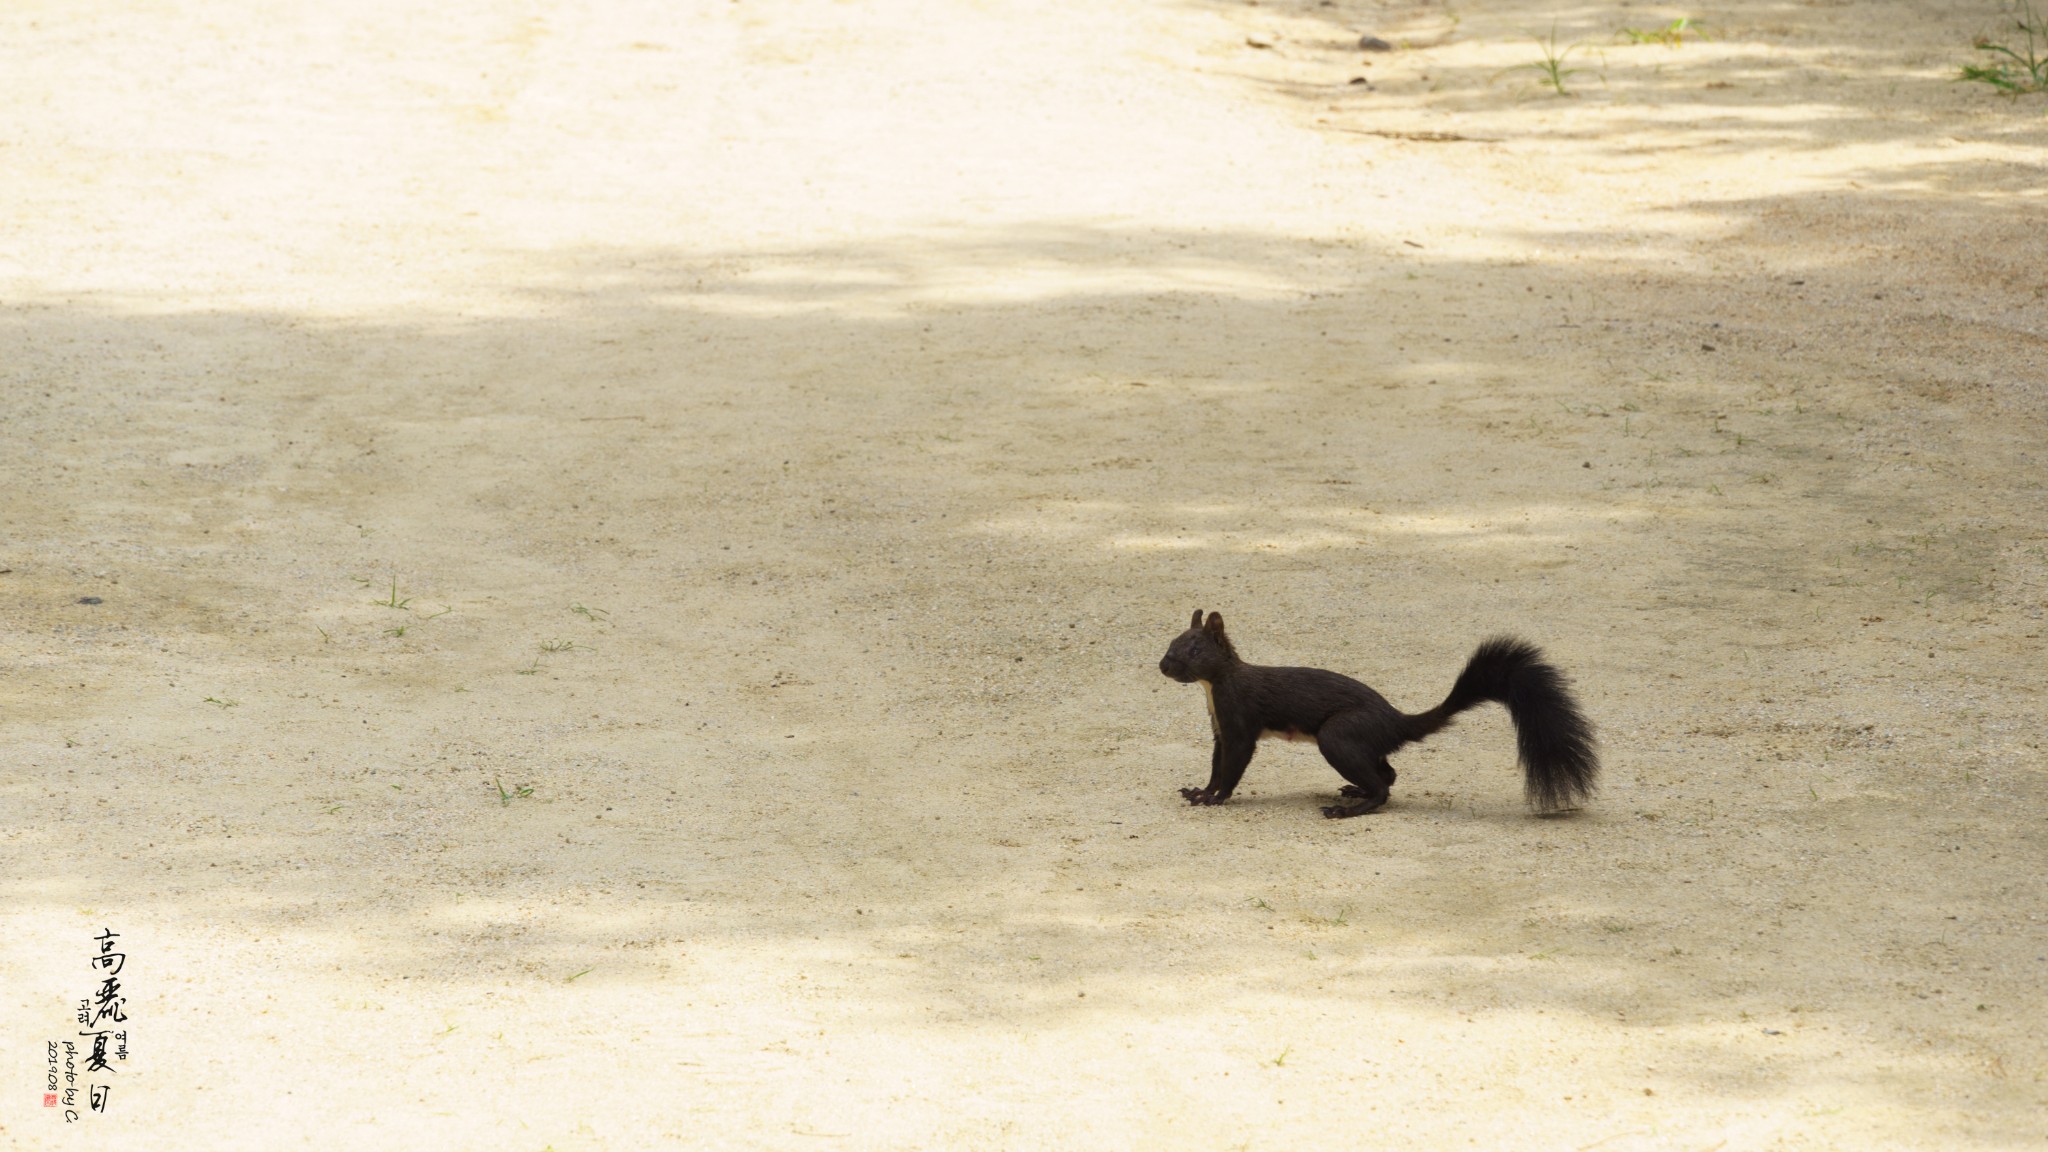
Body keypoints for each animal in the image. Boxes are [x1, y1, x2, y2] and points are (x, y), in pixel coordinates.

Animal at [1163, 610, 1589, 815]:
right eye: (1171, 641)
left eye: (1195, 649)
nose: (1163, 666)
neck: (1215, 686)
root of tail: (1395, 721)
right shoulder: (1220, 728)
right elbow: (1216, 764)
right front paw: (1200, 790)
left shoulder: (1239, 722)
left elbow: (1233, 766)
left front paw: (1215, 799)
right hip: (1358, 743)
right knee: (1389, 773)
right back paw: (1356, 791)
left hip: (1338, 736)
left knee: (1384, 788)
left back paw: (1348, 809)